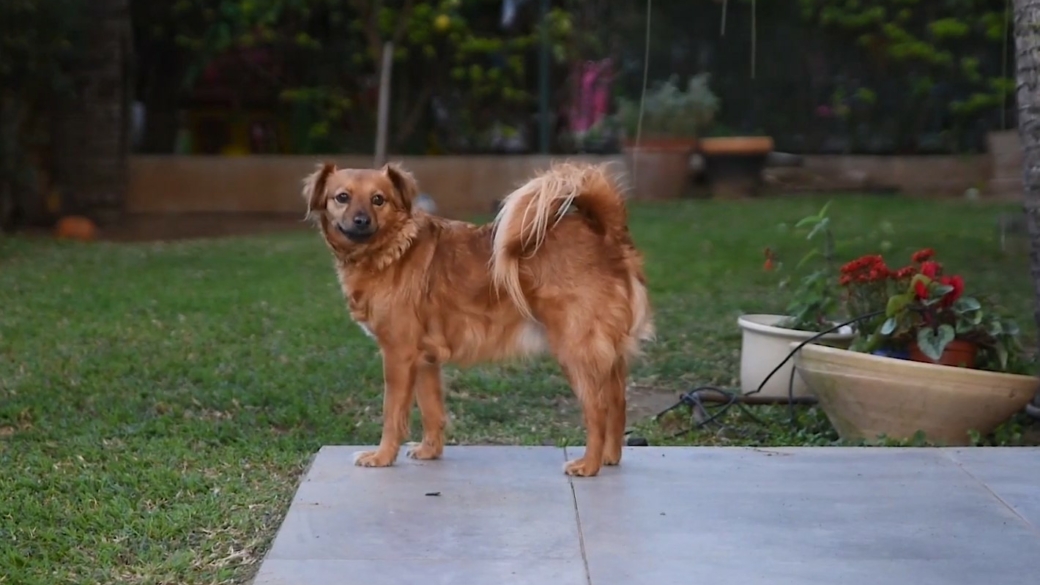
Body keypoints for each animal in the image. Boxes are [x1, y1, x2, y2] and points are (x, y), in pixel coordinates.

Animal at [301, 158, 653, 474]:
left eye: (378, 200)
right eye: (342, 197)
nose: (361, 221)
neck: (391, 249)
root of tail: (606, 234)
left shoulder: (398, 355)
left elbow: (392, 414)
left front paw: (382, 456)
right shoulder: (425, 360)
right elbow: (431, 410)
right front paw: (430, 451)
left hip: (575, 351)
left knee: (598, 409)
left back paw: (589, 465)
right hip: (608, 357)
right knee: (618, 402)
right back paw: (609, 457)